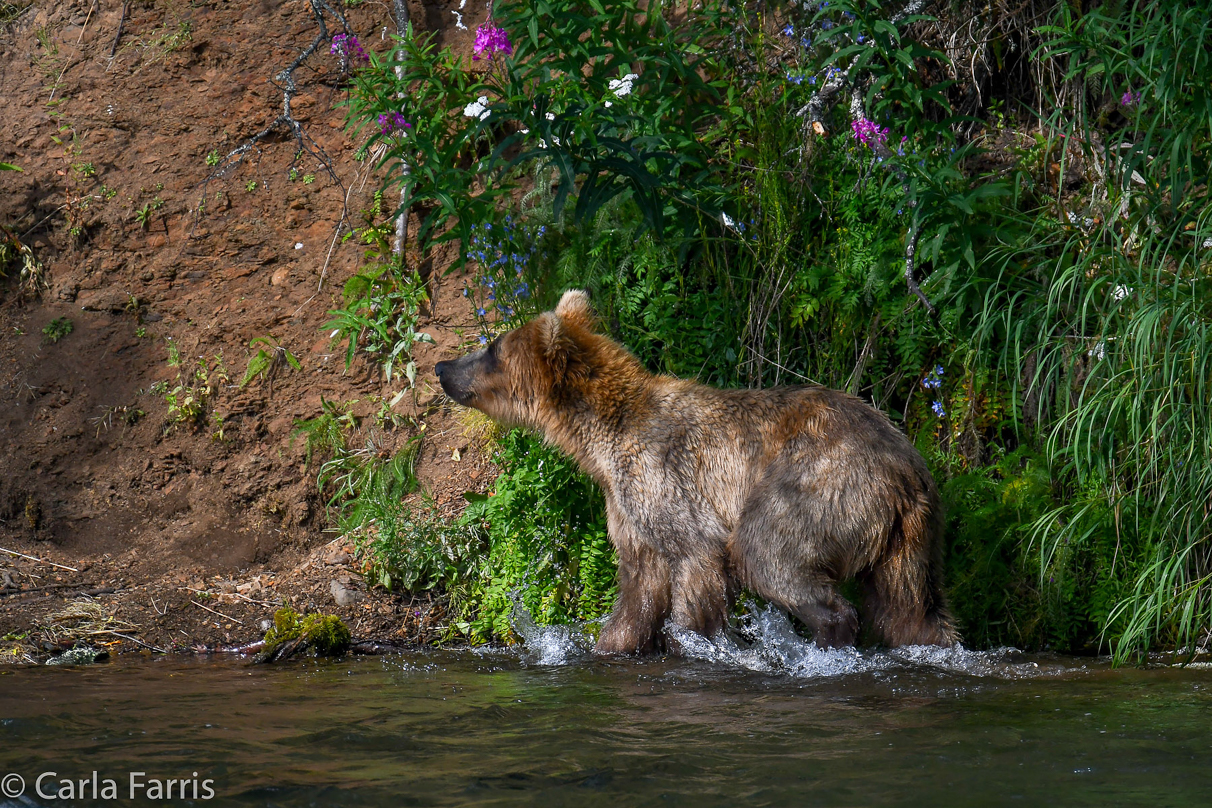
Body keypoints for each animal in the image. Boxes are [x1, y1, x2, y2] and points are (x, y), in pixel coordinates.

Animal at [436, 290, 955, 658]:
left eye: (492, 348)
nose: (443, 366)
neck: (600, 440)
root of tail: (905, 466)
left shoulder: (666, 482)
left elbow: (696, 562)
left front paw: (693, 641)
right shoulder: (629, 509)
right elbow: (637, 590)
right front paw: (612, 645)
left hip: (818, 481)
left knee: (767, 551)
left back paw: (829, 639)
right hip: (908, 537)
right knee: (909, 608)